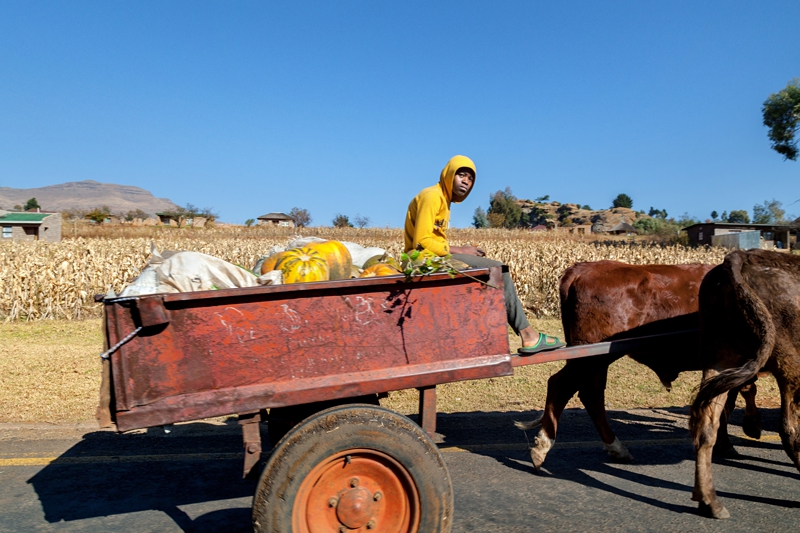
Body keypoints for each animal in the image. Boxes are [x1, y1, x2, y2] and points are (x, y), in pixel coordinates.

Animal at [515, 260, 761, 471]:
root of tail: (582, 268)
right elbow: (730, 401)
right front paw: (734, 437)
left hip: (595, 358)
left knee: (591, 394)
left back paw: (616, 448)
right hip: (591, 356)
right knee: (561, 385)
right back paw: (542, 446)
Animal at [690, 249, 800, 519]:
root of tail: (742, 256)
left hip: (718, 358)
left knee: (707, 424)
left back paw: (710, 502)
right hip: (790, 367)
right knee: (789, 430)